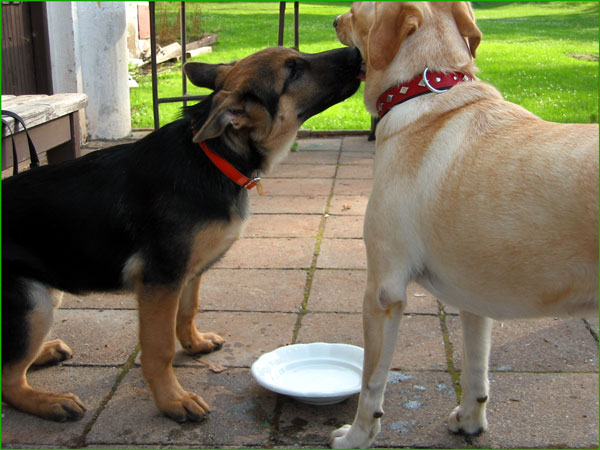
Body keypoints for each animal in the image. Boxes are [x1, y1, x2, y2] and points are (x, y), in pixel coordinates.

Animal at [2, 46, 362, 423]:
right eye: (293, 70)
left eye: (296, 56)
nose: (355, 50)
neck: (216, 155)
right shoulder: (160, 280)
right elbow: (159, 348)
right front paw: (172, 400)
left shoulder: (188, 273)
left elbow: (188, 310)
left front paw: (194, 344)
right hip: (34, 301)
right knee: (8, 383)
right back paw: (50, 401)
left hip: (47, 295)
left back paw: (44, 352)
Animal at [332, 2, 598, 447]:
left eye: (355, 11)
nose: (333, 20)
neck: (429, 89)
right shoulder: (476, 298)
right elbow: (477, 369)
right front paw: (471, 421)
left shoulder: (383, 292)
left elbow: (371, 385)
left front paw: (357, 436)